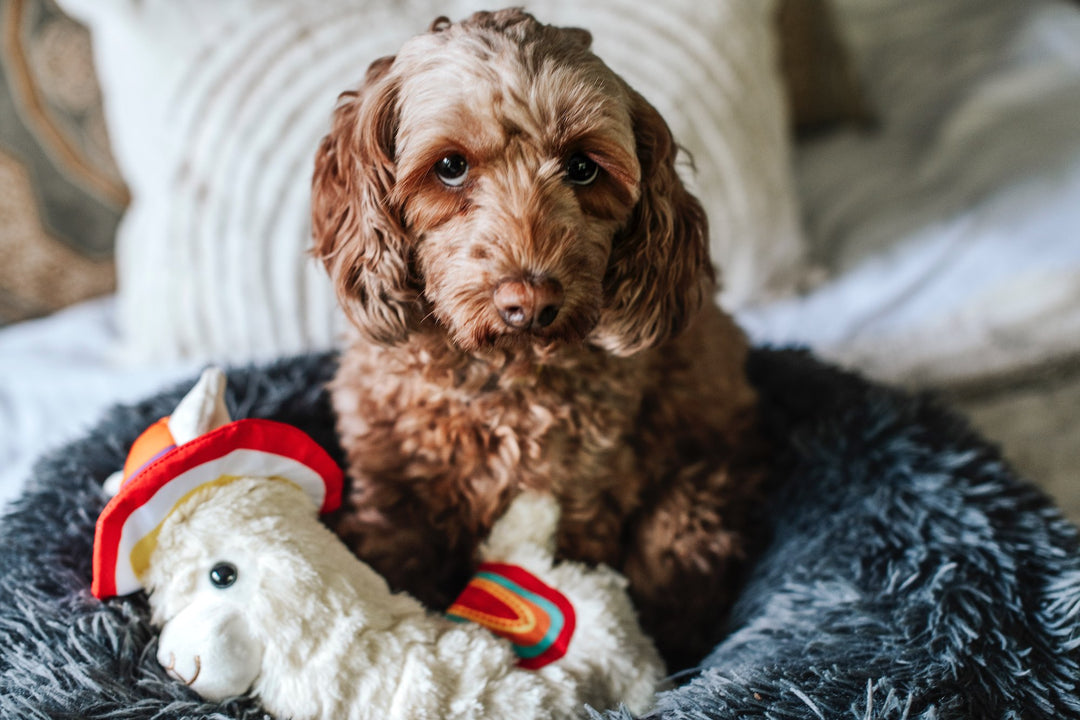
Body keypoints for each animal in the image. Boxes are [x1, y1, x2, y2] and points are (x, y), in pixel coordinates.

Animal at [313, 7, 768, 669]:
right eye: (449, 166)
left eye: (582, 166)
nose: (530, 302)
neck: (501, 378)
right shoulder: (391, 494)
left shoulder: (582, 499)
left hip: (697, 494)